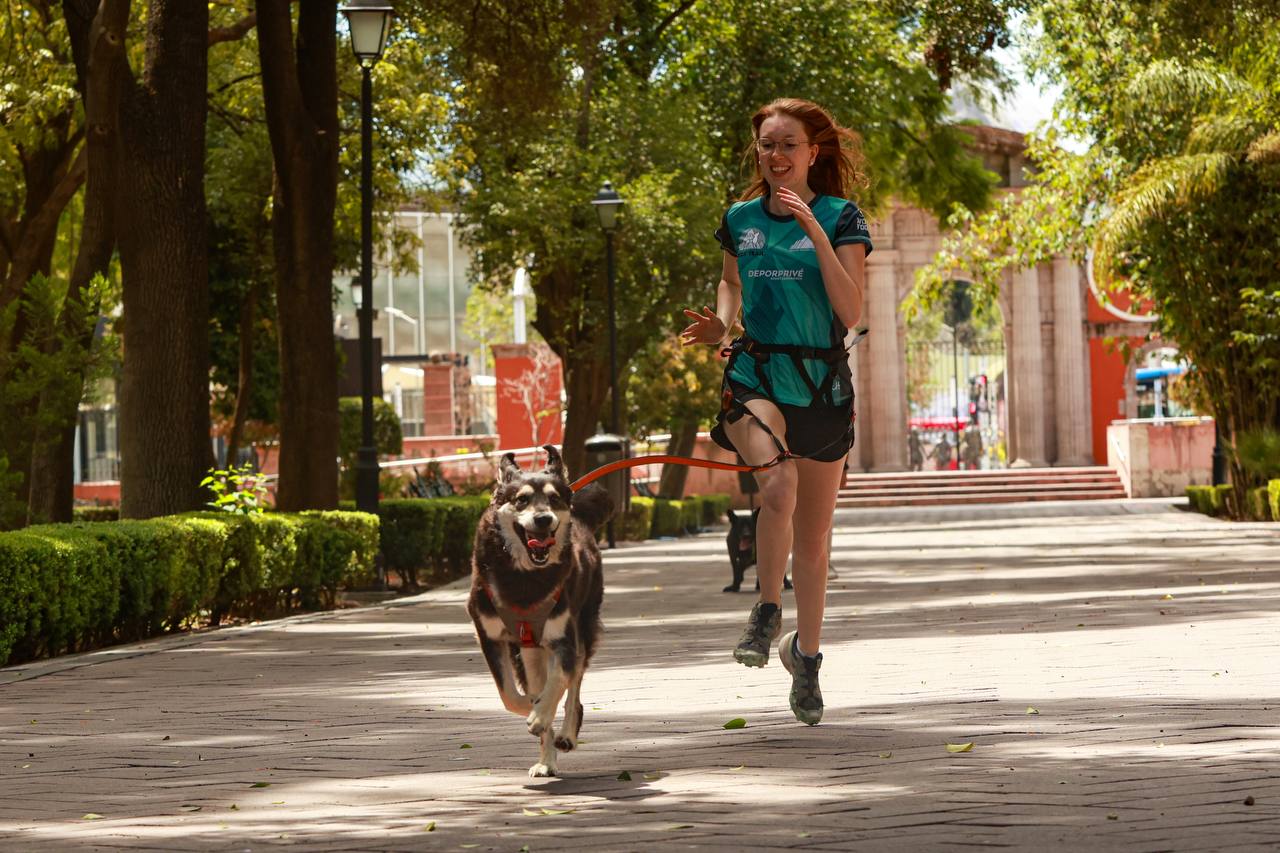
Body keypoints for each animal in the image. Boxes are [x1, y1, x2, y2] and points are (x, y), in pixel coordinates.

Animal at [466, 445, 614, 778]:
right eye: (521, 499)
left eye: (554, 498)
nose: (544, 519)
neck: (524, 578)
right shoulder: (489, 636)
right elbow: (509, 694)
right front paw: (532, 710)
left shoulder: (563, 637)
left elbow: (559, 680)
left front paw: (540, 715)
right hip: (530, 650)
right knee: (541, 683)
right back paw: (546, 760)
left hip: (583, 628)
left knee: (573, 690)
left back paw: (566, 735)